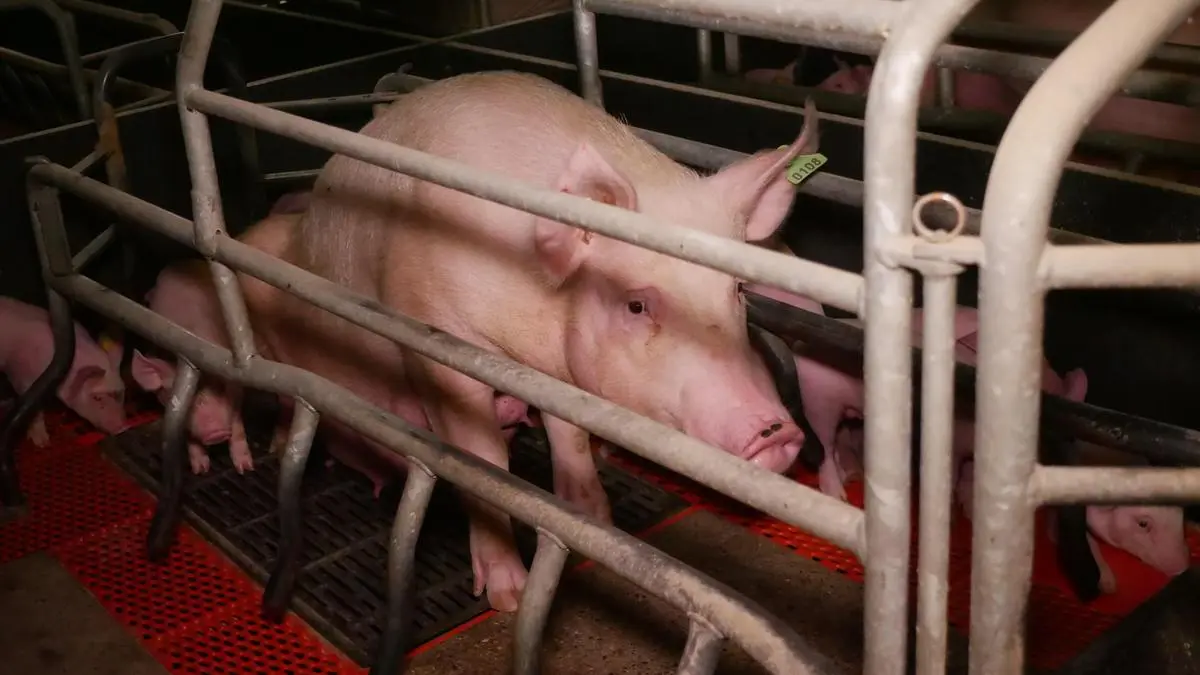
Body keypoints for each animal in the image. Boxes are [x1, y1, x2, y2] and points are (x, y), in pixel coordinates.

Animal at [0, 296, 127, 444]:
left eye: (122, 393)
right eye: (97, 398)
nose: (121, 428)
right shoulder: (22, 379)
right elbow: (35, 410)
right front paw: (43, 443)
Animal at [278, 70, 816, 611]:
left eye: (739, 290)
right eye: (636, 306)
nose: (775, 432)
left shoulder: (557, 368)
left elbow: (569, 435)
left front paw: (597, 519)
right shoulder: (438, 336)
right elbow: (482, 459)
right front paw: (509, 597)